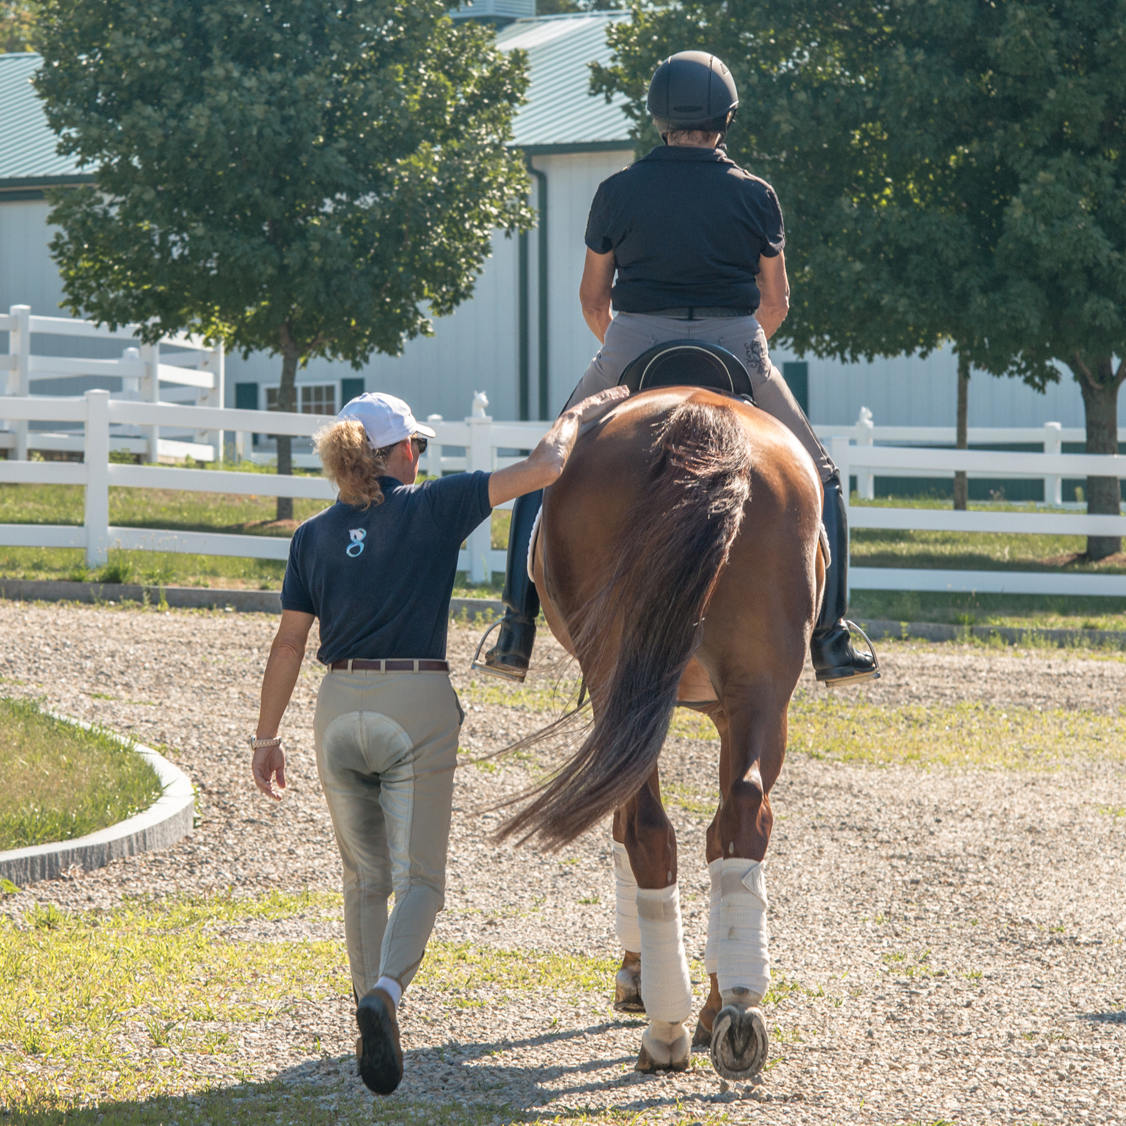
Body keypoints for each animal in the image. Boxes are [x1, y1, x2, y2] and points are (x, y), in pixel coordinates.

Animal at [497, 385, 824, 1080]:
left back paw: (666, 1027)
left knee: (647, 827)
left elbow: (627, 826)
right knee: (743, 815)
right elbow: (718, 833)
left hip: (623, 680)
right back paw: (736, 1013)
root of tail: (706, 415)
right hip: (763, 690)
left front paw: (637, 976)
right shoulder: (729, 709)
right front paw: (715, 1000)